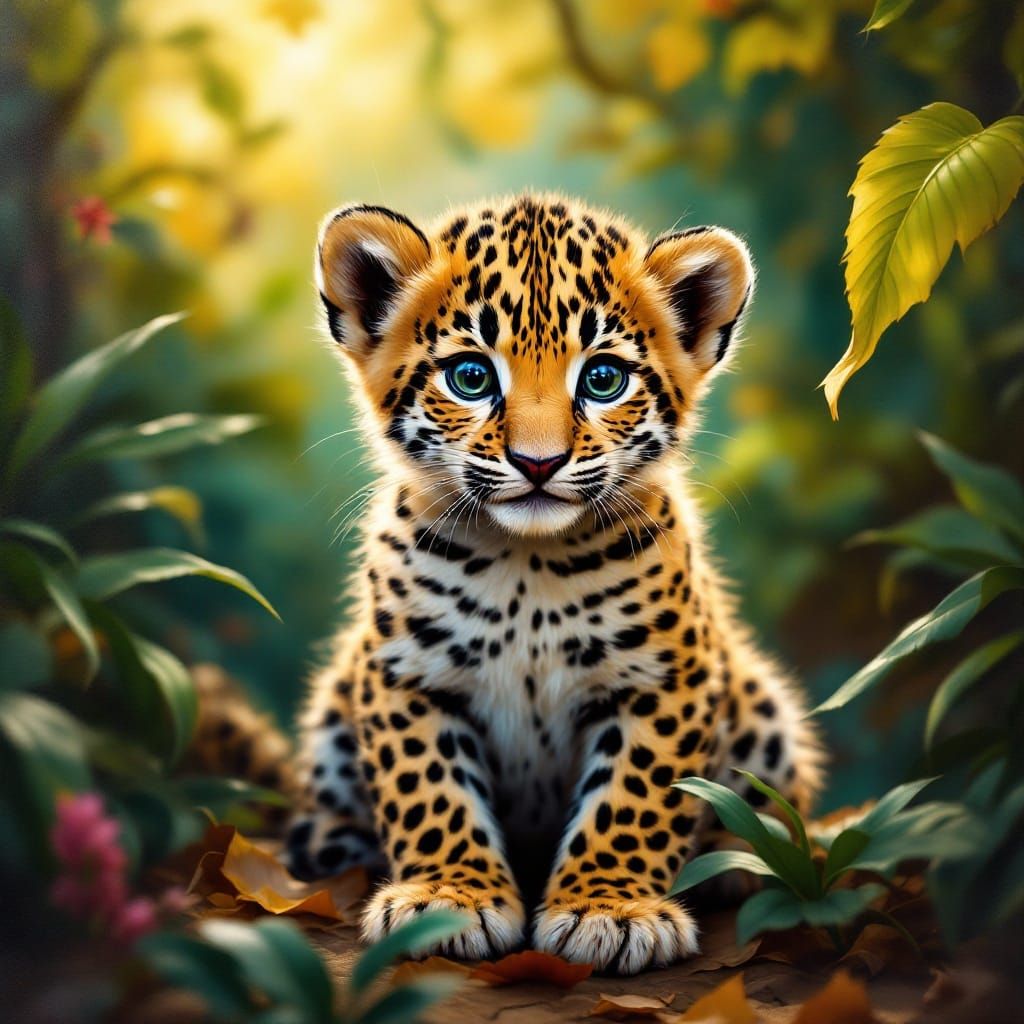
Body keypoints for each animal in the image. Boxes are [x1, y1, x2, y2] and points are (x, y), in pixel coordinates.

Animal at [280, 193, 824, 975]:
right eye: (471, 376)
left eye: (603, 380)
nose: (538, 463)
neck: (525, 569)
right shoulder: (405, 672)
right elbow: (429, 789)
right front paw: (448, 898)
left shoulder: (665, 677)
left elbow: (634, 797)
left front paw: (611, 910)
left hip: (761, 705)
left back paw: (741, 856)